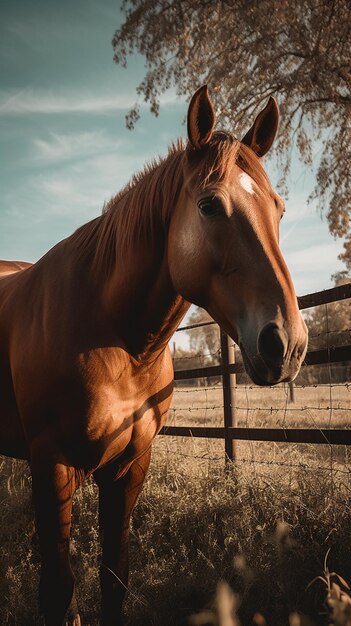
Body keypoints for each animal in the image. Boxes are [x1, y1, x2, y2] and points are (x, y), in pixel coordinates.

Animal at [0, 88, 308, 624]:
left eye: (280, 209)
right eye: (209, 205)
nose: (286, 343)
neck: (114, 339)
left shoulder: (130, 464)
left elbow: (114, 576)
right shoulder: (51, 462)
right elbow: (58, 589)